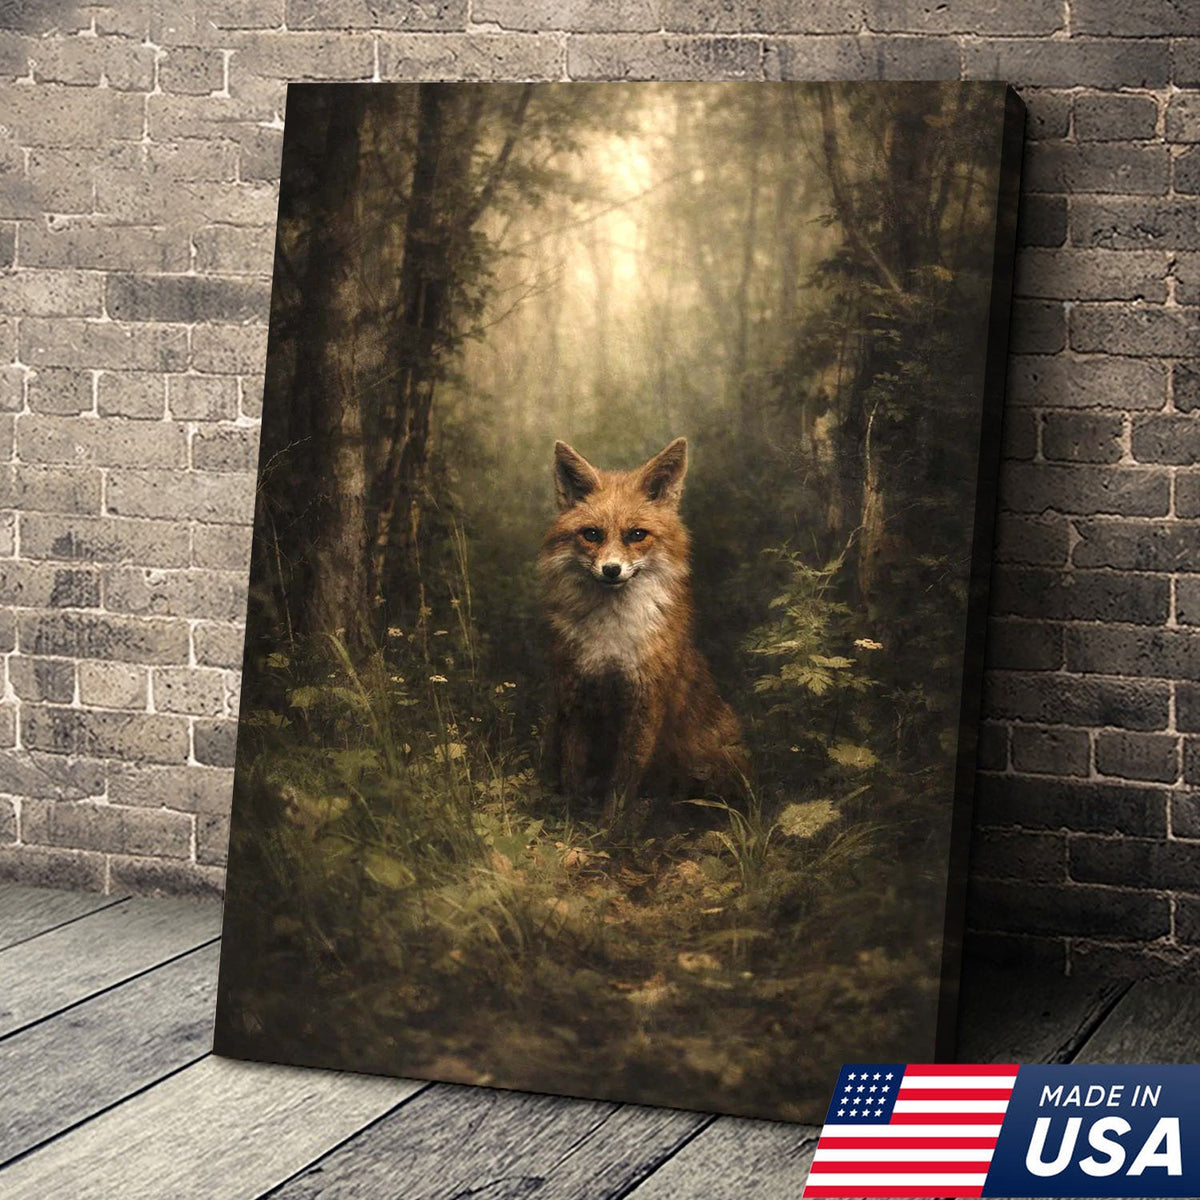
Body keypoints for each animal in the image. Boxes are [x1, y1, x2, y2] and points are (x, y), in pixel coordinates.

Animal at [539, 436, 748, 816]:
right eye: (591, 535)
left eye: (637, 535)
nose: (611, 570)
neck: (610, 638)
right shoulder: (576, 696)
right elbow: (573, 773)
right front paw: (572, 818)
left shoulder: (645, 704)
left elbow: (622, 782)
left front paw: (610, 825)